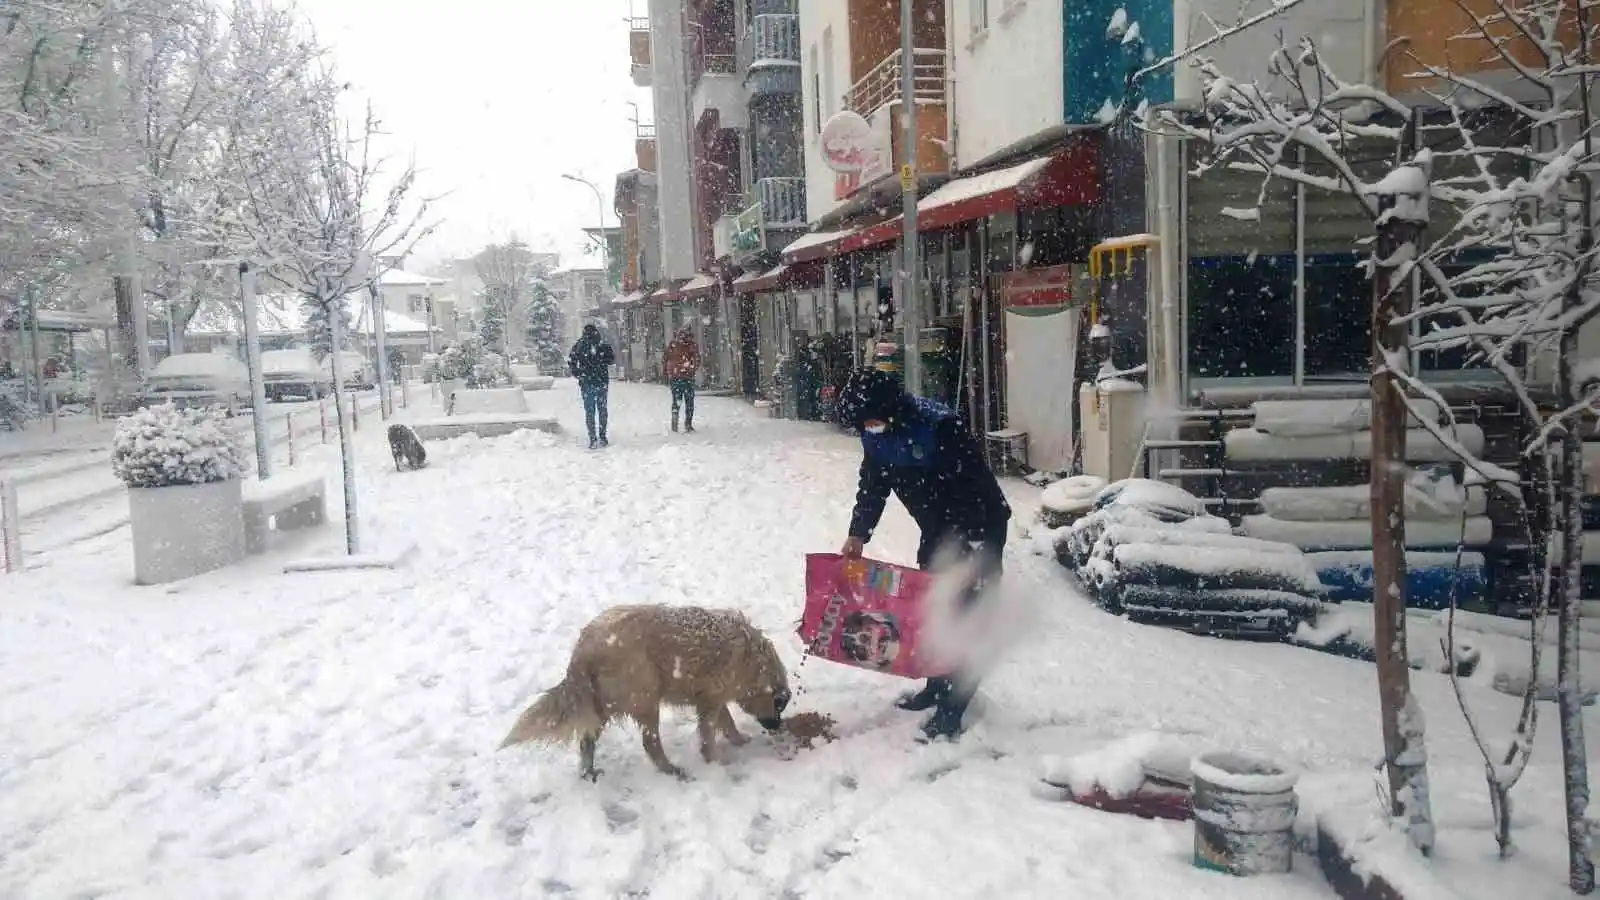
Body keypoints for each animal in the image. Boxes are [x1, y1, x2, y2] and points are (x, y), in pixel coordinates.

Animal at [499, 602, 793, 778]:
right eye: (779, 705)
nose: (777, 726)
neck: (753, 662)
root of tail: (584, 649)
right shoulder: (710, 701)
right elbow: (710, 733)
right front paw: (714, 761)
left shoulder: (712, 699)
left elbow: (727, 723)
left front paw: (739, 740)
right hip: (645, 699)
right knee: (650, 742)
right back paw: (673, 771)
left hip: (601, 704)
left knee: (587, 739)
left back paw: (588, 772)